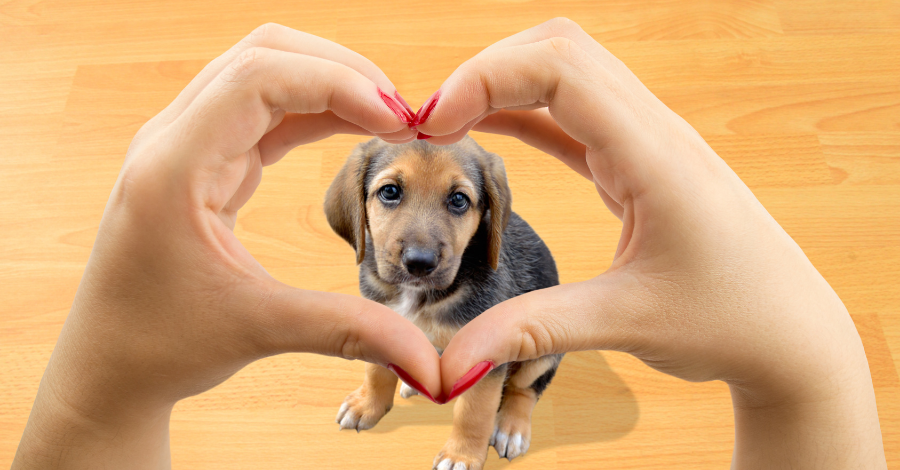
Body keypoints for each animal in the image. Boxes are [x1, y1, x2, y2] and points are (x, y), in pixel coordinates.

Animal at [324, 136, 564, 470]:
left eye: (459, 199)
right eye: (390, 191)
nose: (419, 263)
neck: (418, 296)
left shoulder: (483, 356)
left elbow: (474, 413)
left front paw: (460, 455)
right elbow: (376, 373)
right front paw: (368, 405)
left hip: (541, 352)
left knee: (524, 389)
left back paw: (511, 428)